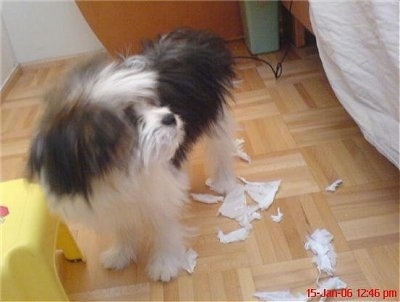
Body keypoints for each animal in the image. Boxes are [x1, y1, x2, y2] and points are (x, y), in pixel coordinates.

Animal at [27, 28, 238, 280]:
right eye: (129, 119)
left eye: (149, 103)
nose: (170, 118)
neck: (115, 169)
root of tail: (194, 37)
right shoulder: (112, 202)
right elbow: (123, 227)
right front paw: (121, 254)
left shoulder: (159, 193)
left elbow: (163, 226)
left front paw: (165, 263)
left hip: (216, 114)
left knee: (221, 148)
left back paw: (224, 182)